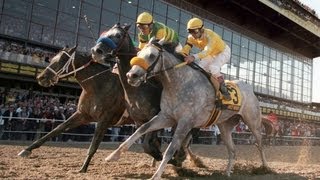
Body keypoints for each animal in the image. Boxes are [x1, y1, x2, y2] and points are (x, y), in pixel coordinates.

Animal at [107, 40, 268, 179]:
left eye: (152, 55)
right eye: (138, 54)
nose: (131, 75)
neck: (180, 84)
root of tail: (250, 88)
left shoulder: (185, 122)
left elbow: (171, 149)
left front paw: (156, 175)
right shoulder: (166, 117)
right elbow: (142, 129)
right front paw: (113, 155)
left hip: (253, 121)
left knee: (260, 144)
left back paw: (264, 168)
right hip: (225, 126)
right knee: (233, 150)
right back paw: (227, 172)